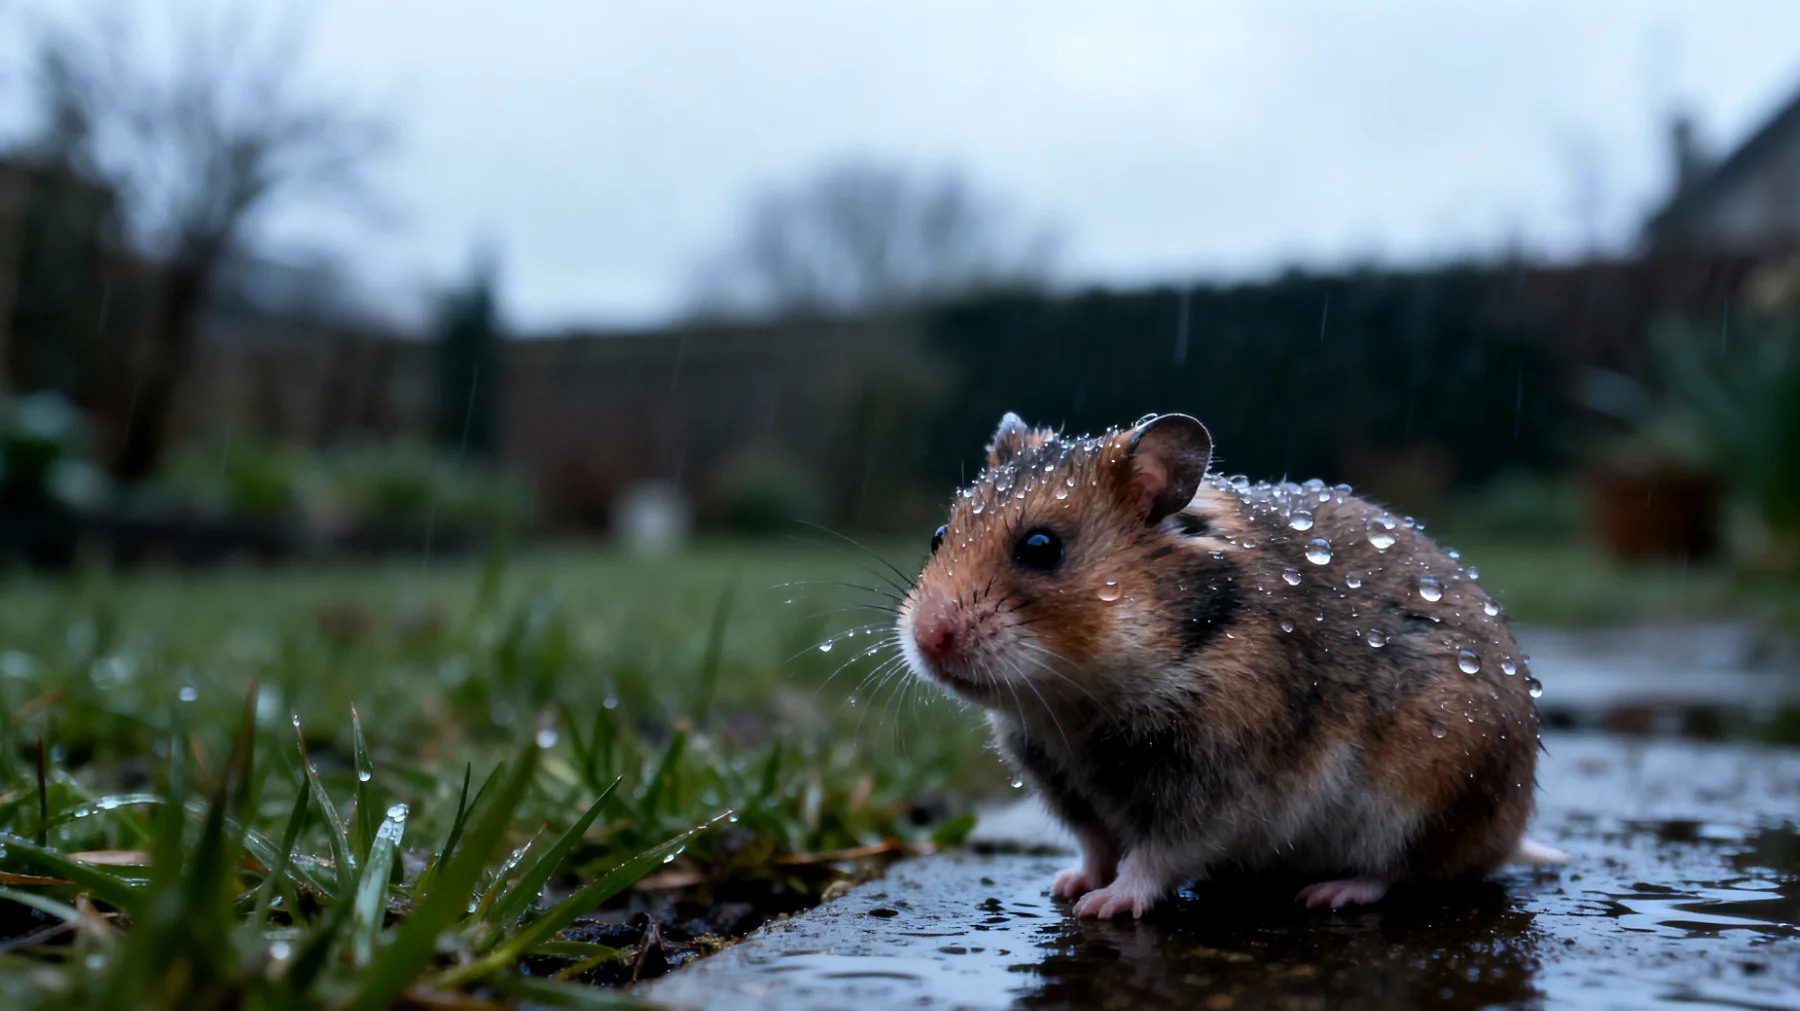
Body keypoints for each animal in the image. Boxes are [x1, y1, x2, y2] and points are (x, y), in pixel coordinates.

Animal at [897, 412, 1567, 919]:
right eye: (937, 535)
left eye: (1041, 547)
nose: (927, 639)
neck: (1078, 703)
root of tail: (1508, 835)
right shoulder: (1066, 785)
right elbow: (1096, 846)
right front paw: (1067, 886)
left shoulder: (1218, 787)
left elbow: (1156, 858)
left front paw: (1104, 906)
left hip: (1426, 792)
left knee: (1401, 871)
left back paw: (1330, 892)